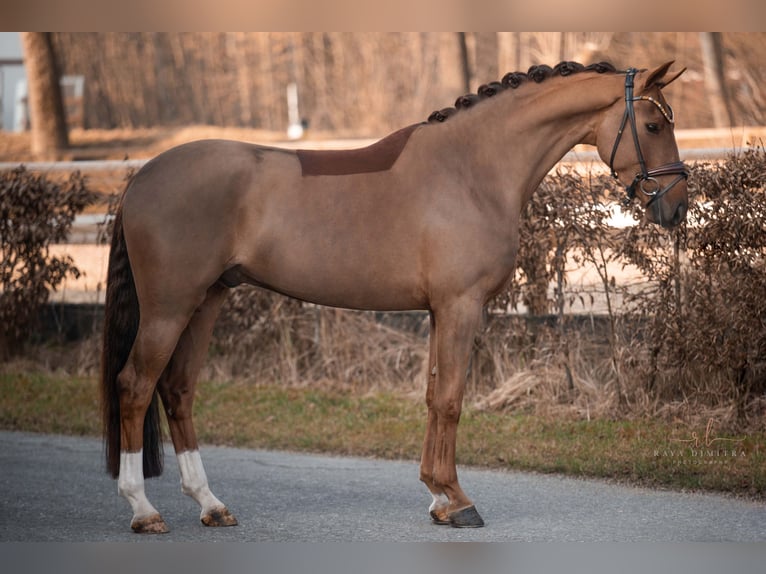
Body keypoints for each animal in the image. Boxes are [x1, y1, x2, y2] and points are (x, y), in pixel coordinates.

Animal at [100, 60, 688, 532]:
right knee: (135, 386)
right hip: (170, 308)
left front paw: (437, 497)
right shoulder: (460, 306)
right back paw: (142, 510)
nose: (677, 206)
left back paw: (211, 505)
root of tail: (142, 178)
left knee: (177, 390)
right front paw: (458, 502)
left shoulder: (438, 312)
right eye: (653, 125)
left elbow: (431, 396)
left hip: (206, 301)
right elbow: (450, 400)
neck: (471, 168)